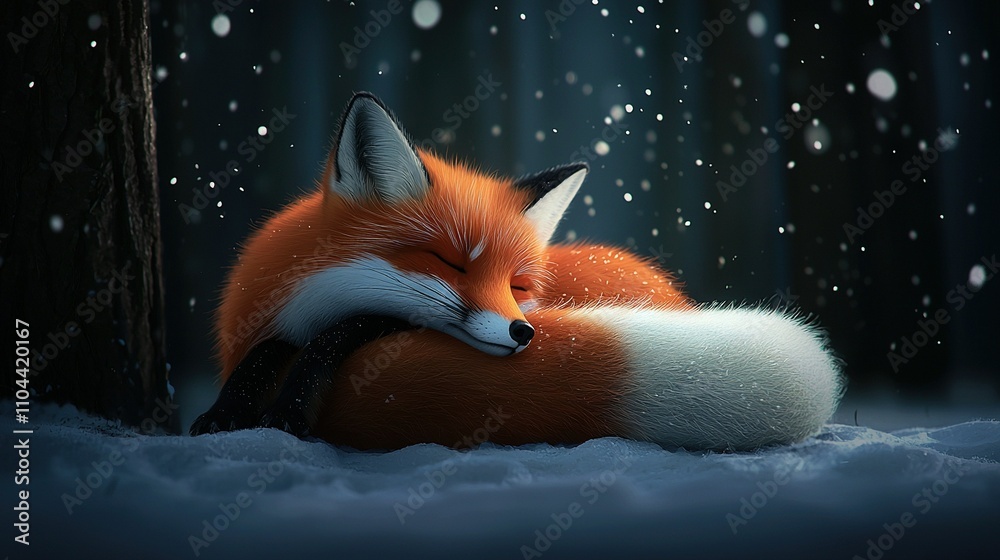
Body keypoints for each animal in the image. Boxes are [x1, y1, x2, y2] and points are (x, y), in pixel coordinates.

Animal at [190, 92, 844, 451]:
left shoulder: (378, 322)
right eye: (449, 261)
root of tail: (671, 293)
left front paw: (285, 409)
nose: (523, 332)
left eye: (519, 285)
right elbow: (271, 347)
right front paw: (226, 411)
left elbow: (340, 330)